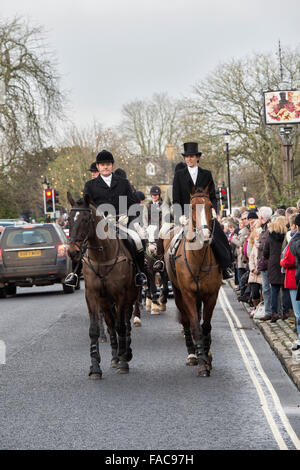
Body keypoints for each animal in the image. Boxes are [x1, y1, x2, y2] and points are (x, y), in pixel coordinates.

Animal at [67, 193, 138, 380]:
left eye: (85, 220)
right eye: (69, 219)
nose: (72, 252)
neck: (101, 256)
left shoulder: (121, 295)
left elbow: (121, 326)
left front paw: (123, 362)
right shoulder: (92, 295)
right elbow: (94, 330)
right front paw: (95, 367)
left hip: (130, 296)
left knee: (125, 323)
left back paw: (125, 353)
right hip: (105, 301)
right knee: (111, 323)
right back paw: (114, 356)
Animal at [164, 185, 223, 376]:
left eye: (210, 205)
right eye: (191, 207)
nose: (205, 235)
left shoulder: (211, 294)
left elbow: (206, 326)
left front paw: (207, 355)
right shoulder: (188, 294)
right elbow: (196, 327)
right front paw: (202, 363)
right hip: (178, 293)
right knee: (186, 321)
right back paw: (192, 354)